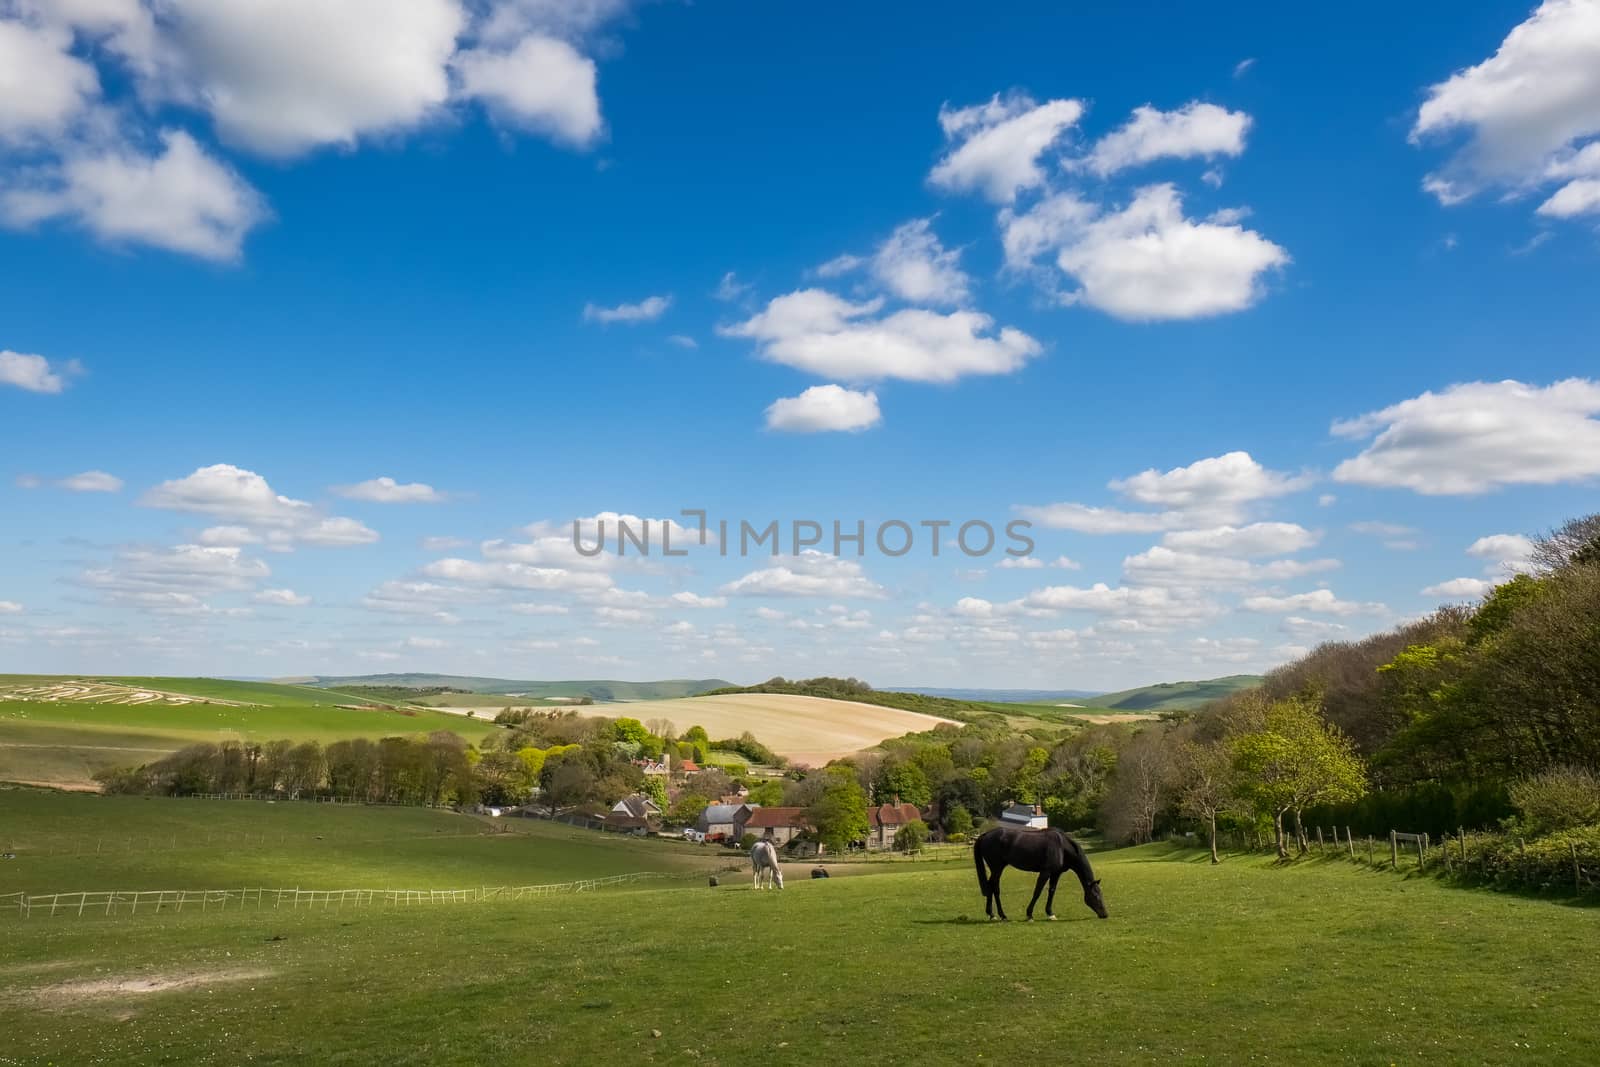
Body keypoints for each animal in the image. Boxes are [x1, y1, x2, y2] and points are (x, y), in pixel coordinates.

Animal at [966, 825, 1107, 921]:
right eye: (1095, 896)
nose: (1105, 914)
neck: (1062, 847)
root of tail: (986, 834)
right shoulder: (1045, 872)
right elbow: (1037, 891)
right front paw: (1029, 914)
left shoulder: (1056, 873)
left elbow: (1052, 891)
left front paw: (1050, 914)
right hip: (997, 868)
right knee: (993, 887)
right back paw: (998, 915)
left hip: (997, 868)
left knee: (991, 886)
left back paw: (995, 914)